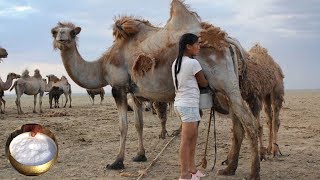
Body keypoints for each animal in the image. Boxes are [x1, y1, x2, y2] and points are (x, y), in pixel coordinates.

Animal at [50, 0, 260, 179]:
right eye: (54, 31)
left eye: (73, 32)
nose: (61, 38)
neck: (102, 66)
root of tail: (227, 41)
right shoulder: (135, 93)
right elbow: (138, 124)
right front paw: (140, 155)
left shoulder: (118, 88)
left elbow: (123, 126)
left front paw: (117, 162)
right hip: (226, 89)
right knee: (237, 126)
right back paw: (228, 169)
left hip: (226, 84)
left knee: (250, 124)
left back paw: (253, 173)